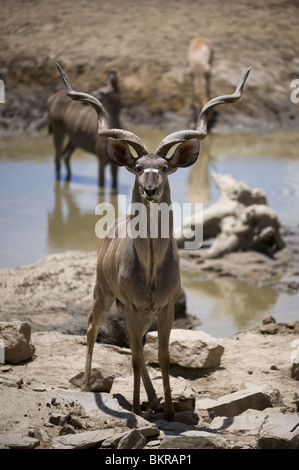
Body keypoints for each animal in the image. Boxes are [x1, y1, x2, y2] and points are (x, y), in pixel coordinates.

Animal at [56, 63, 251, 422]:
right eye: (137, 167)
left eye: (163, 167)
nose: (150, 190)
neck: (149, 270)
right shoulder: (134, 306)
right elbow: (134, 357)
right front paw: (136, 409)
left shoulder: (165, 307)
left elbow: (159, 356)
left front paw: (170, 410)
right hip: (103, 293)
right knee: (92, 327)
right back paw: (89, 384)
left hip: (140, 313)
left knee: (137, 345)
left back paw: (155, 402)